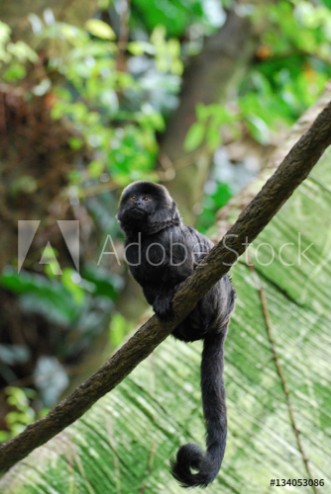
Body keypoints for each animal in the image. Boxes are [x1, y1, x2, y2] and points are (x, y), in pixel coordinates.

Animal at [118, 180, 235, 486]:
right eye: (133, 198)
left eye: (147, 198)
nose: (137, 203)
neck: (148, 238)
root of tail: (225, 318)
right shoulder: (130, 250)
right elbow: (147, 282)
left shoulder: (174, 237)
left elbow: (181, 271)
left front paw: (168, 294)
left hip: (216, 298)